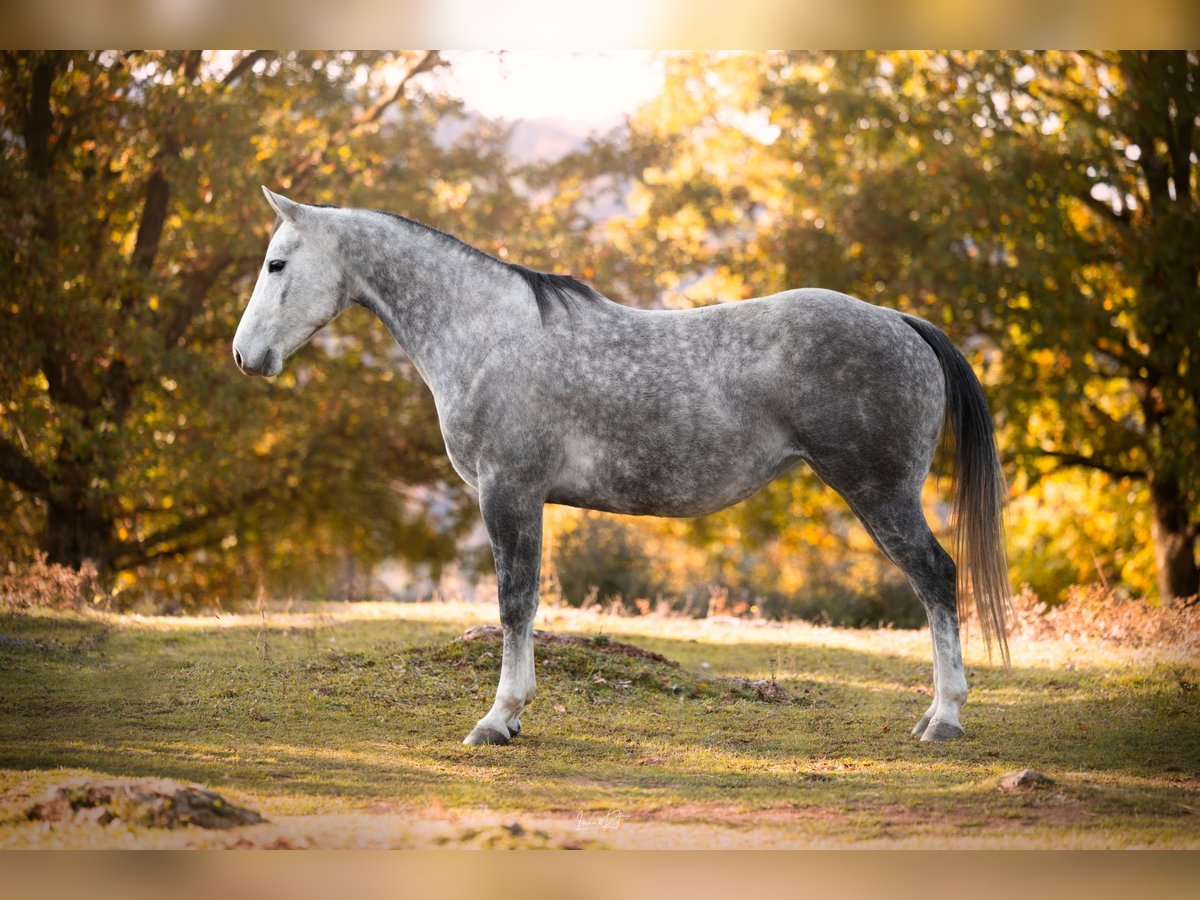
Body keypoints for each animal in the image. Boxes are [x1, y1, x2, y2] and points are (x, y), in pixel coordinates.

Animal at [233, 187, 1011, 746]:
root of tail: (900, 321)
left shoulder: (509, 492)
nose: (245, 356)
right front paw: (514, 715)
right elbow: (525, 604)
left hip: (881, 494)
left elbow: (514, 603)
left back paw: (945, 719)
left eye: (276, 264)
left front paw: (498, 719)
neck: (486, 332)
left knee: (938, 578)